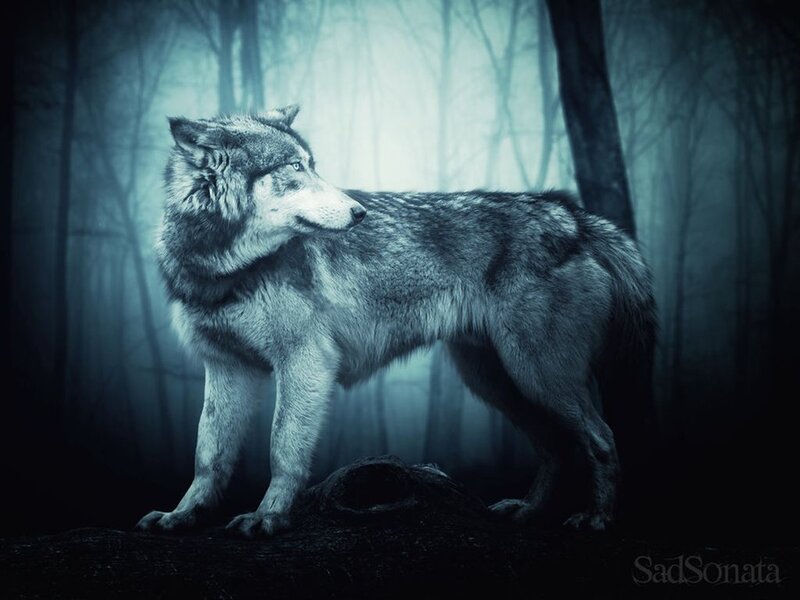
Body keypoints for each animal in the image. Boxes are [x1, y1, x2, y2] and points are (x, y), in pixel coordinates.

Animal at [136, 105, 655, 537]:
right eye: (295, 168)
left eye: (312, 164)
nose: (359, 212)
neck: (223, 270)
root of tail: (576, 218)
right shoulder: (226, 368)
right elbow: (208, 454)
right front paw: (183, 515)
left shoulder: (305, 363)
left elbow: (282, 447)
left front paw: (269, 517)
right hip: (500, 382)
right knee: (556, 447)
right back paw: (527, 511)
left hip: (537, 375)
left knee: (602, 438)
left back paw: (597, 518)